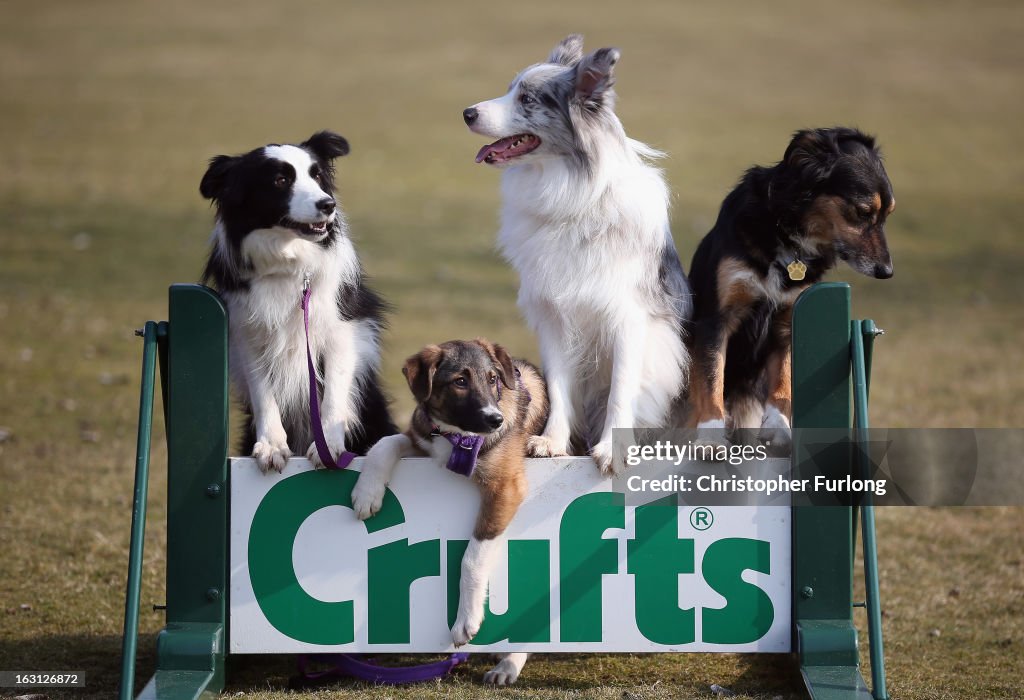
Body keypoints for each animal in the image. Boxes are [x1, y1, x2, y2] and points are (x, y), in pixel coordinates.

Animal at [352, 339, 548, 683]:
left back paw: (509, 663)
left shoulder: (505, 487)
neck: (456, 436)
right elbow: (387, 442)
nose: (496, 420)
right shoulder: (421, 439)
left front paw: (466, 619)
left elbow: (472, 557)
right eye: (460, 381)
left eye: (493, 379)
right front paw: (367, 491)